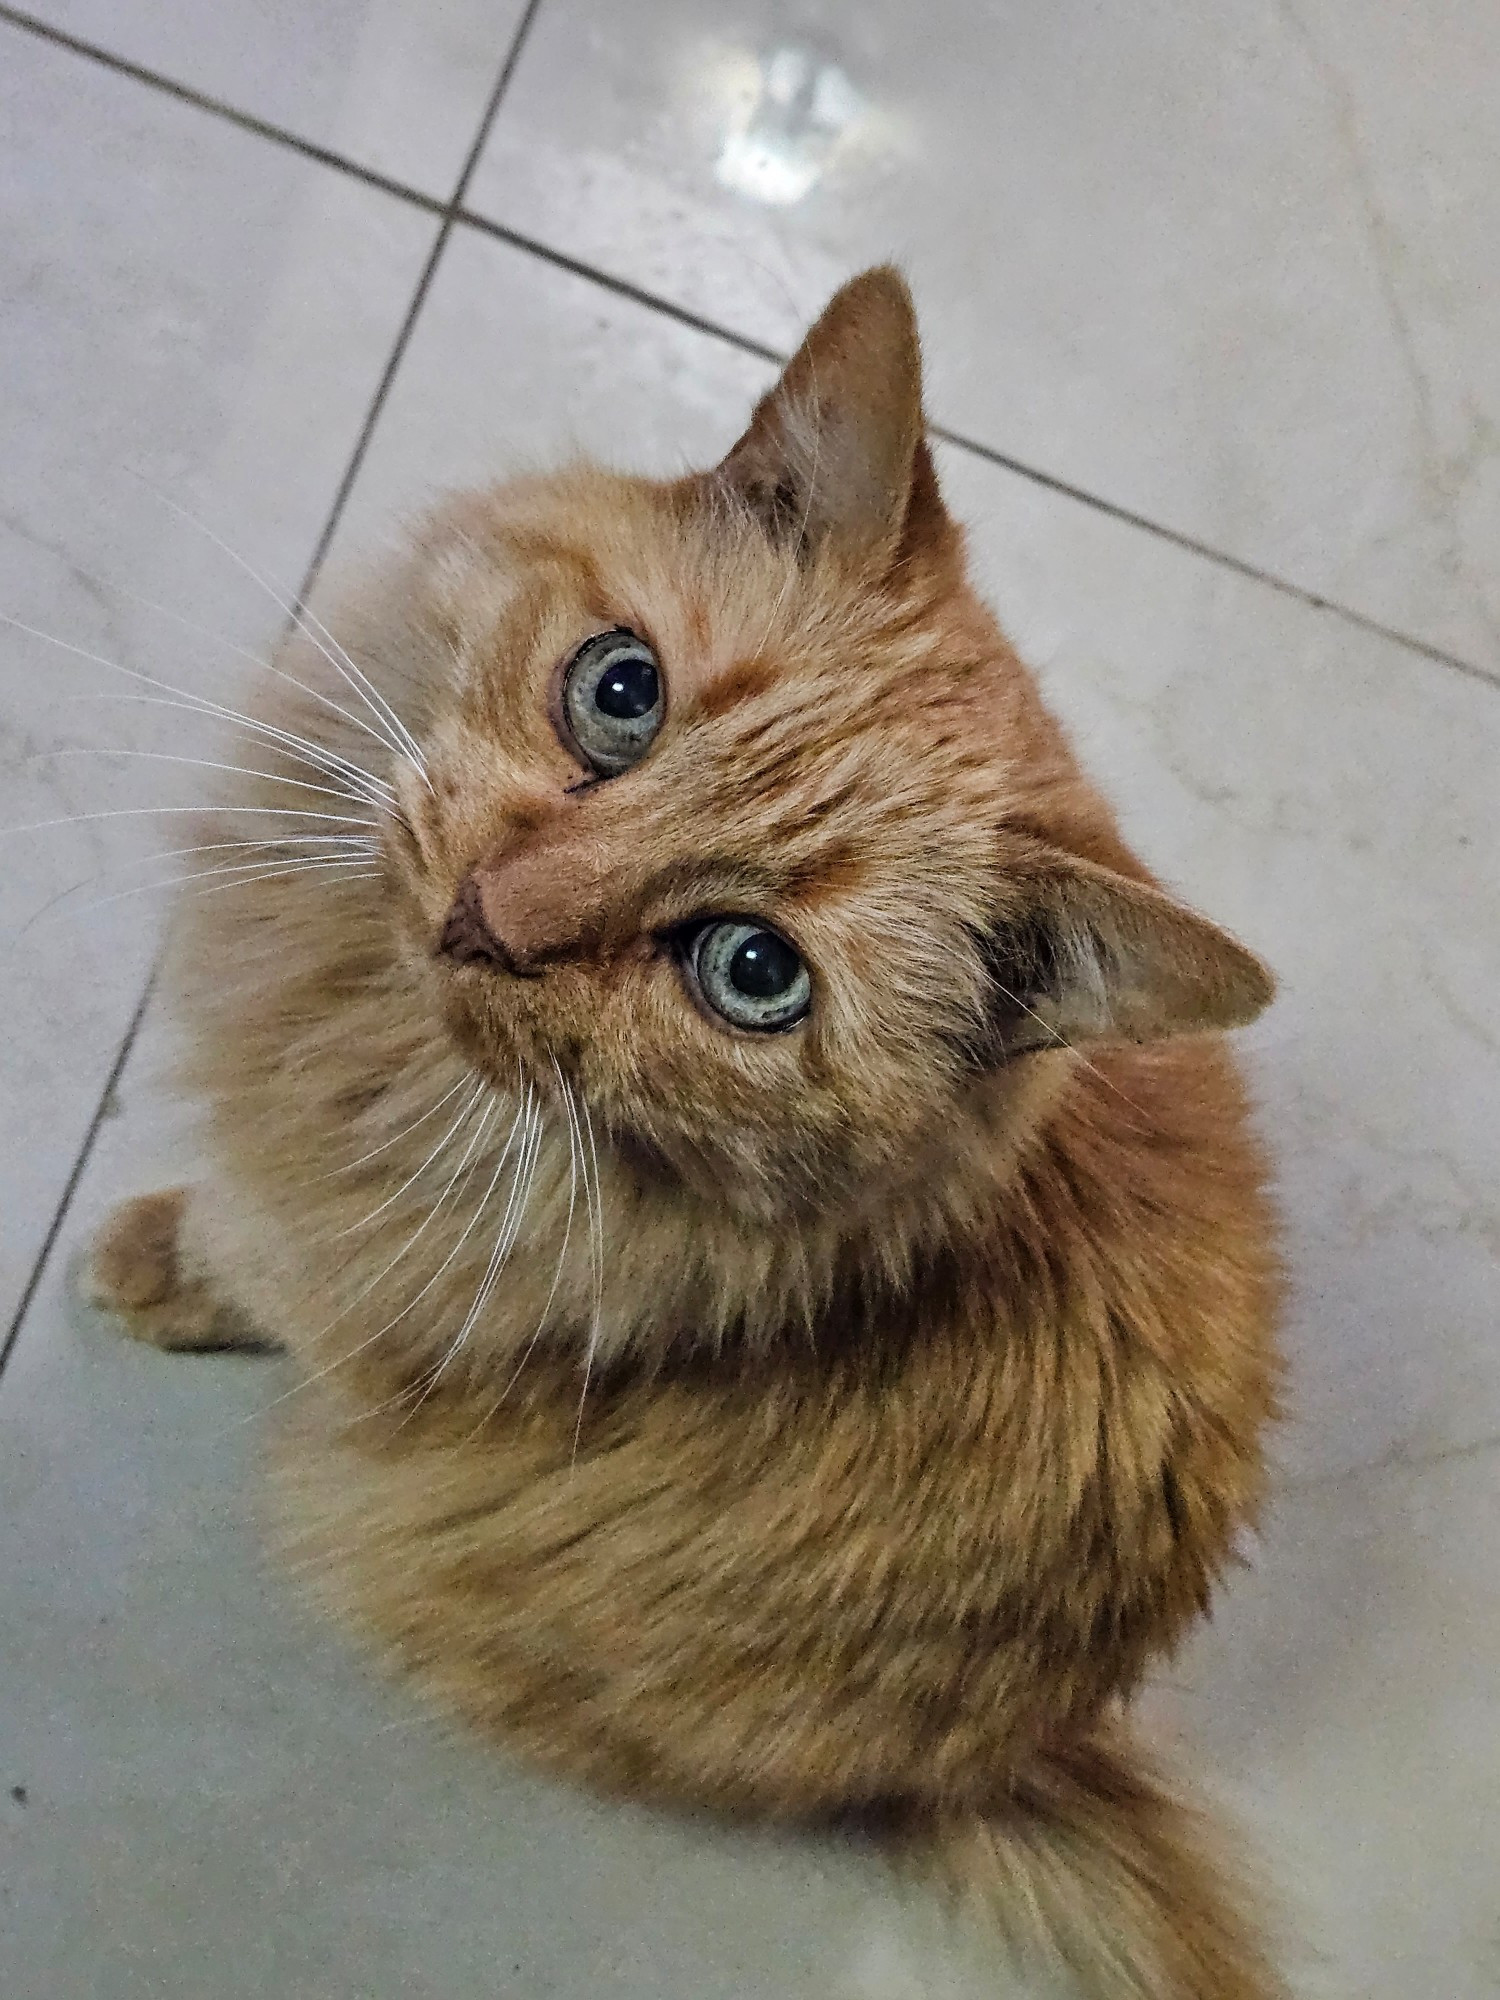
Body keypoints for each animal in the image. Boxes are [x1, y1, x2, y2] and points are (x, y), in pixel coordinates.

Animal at [91, 270, 1296, 2000]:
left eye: (752, 973)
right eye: (620, 693)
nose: (491, 917)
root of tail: (1012, 1744)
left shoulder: (343, 1290)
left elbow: (237, 1258)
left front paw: (143, 1262)